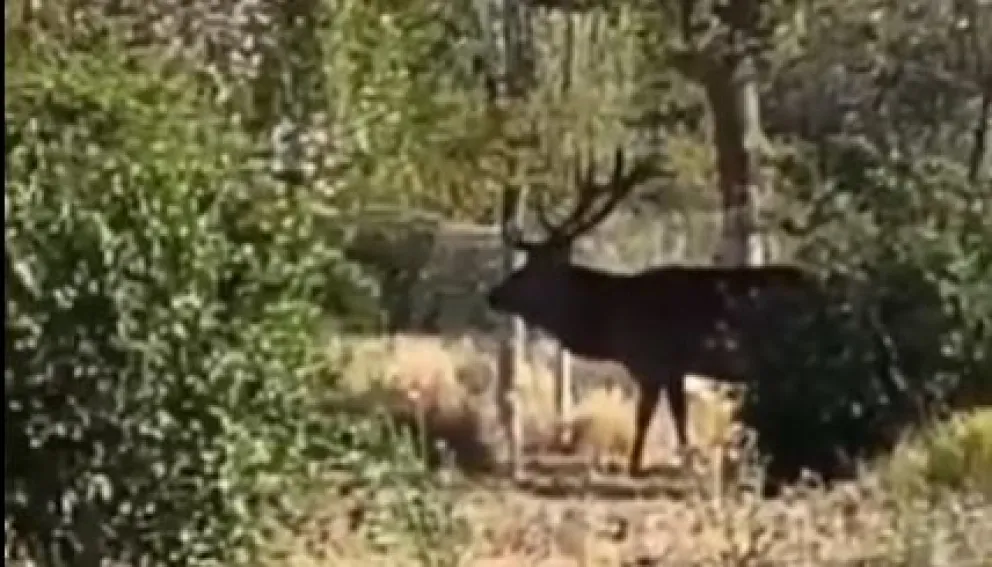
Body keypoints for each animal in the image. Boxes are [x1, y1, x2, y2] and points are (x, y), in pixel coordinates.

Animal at [486, 147, 816, 477]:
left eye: (531, 272)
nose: (493, 295)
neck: (613, 323)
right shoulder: (674, 368)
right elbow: (678, 414)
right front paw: (687, 460)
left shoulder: (652, 361)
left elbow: (644, 415)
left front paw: (635, 465)